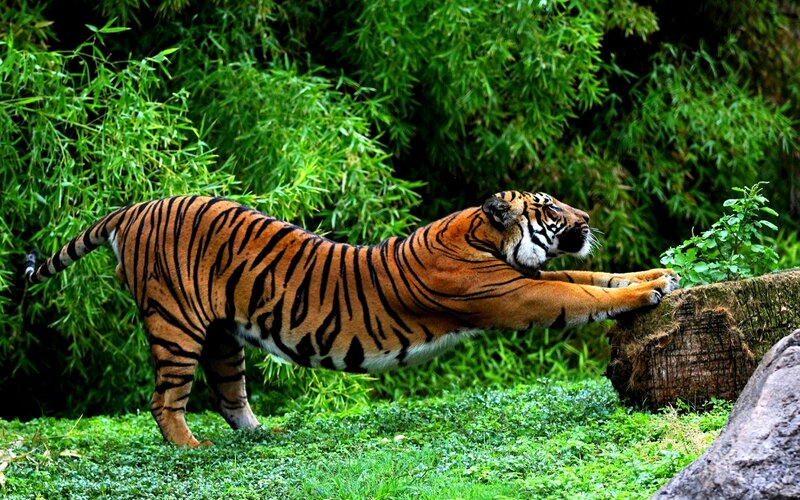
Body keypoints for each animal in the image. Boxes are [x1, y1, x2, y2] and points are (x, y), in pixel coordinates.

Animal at [24, 190, 678, 447]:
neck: (482, 236)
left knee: (230, 394)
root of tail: (133, 208)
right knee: (165, 400)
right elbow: (580, 296)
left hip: (223, 335)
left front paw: (658, 275)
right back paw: (190, 446)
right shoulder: (517, 294)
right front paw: (648, 291)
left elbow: (593, 279)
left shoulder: (528, 279)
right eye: (550, 208)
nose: (587, 218)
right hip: (176, 325)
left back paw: (263, 435)